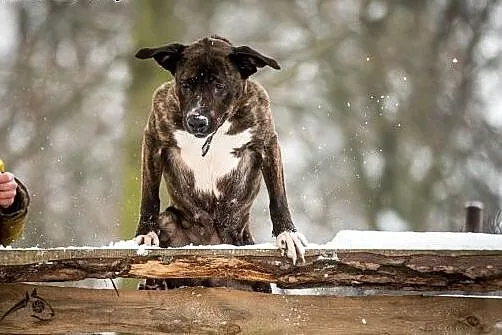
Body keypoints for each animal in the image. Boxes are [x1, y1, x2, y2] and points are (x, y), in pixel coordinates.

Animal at [133, 35, 306, 290]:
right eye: (186, 84)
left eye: (219, 85)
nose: (196, 120)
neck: (213, 135)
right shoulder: (154, 138)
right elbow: (149, 196)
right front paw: (145, 233)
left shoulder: (267, 143)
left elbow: (278, 196)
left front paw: (287, 234)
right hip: (170, 223)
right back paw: (154, 282)